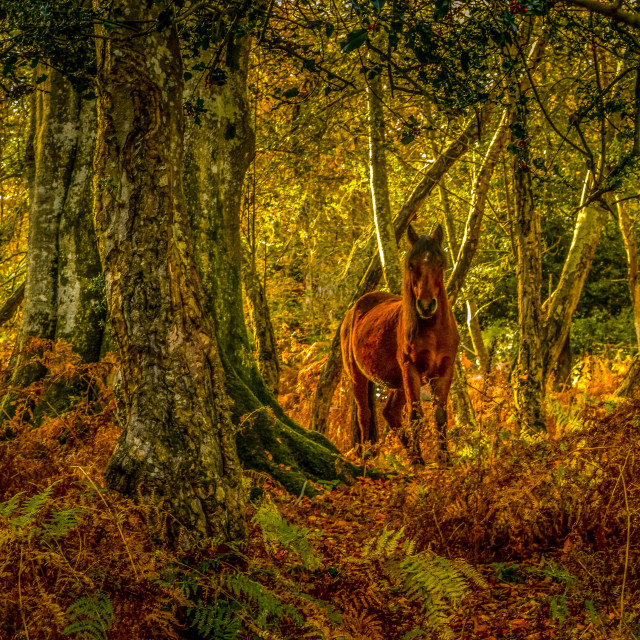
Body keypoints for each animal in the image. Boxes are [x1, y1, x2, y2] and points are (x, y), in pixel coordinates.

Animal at [340, 222, 460, 462]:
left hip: (400, 382)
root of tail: (354, 309)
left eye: (441, 263)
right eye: (411, 265)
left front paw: (445, 461)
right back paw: (369, 456)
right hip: (359, 377)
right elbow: (415, 416)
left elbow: (440, 415)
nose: (426, 305)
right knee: (365, 414)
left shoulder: (445, 370)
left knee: (390, 412)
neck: (433, 330)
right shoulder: (410, 369)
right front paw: (427, 463)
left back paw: (413, 456)